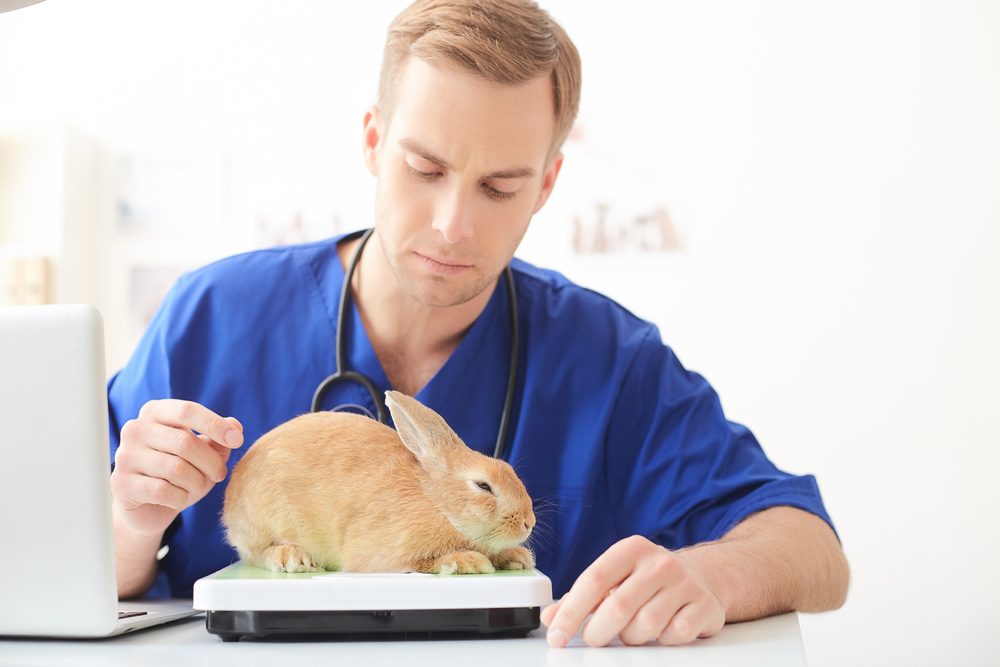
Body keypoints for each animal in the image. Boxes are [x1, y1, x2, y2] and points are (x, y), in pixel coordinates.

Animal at [222, 390, 536, 575]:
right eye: (483, 486)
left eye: (508, 469)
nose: (528, 522)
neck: (436, 503)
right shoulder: (387, 554)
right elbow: (424, 562)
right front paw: (468, 561)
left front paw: (518, 557)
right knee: (256, 554)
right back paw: (292, 558)